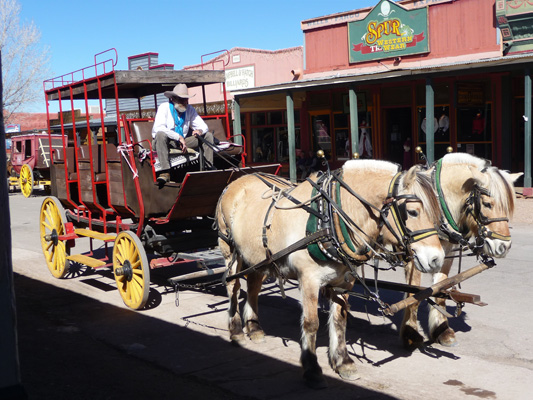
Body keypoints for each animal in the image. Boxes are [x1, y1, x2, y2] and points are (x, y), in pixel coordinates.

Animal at [216, 160, 444, 388]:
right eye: (412, 212)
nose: (437, 259)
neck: (330, 217)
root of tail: (237, 181)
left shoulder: (343, 281)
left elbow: (339, 320)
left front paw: (343, 362)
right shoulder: (308, 280)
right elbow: (311, 323)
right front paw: (311, 368)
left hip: (256, 258)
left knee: (253, 286)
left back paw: (254, 328)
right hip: (230, 250)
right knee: (233, 287)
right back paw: (236, 331)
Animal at [402, 152, 520, 348]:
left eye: (508, 206)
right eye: (487, 204)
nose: (504, 246)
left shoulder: (446, 252)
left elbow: (440, 289)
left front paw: (442, 331)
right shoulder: (416, 254)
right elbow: (413, 293)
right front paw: (410, 333)